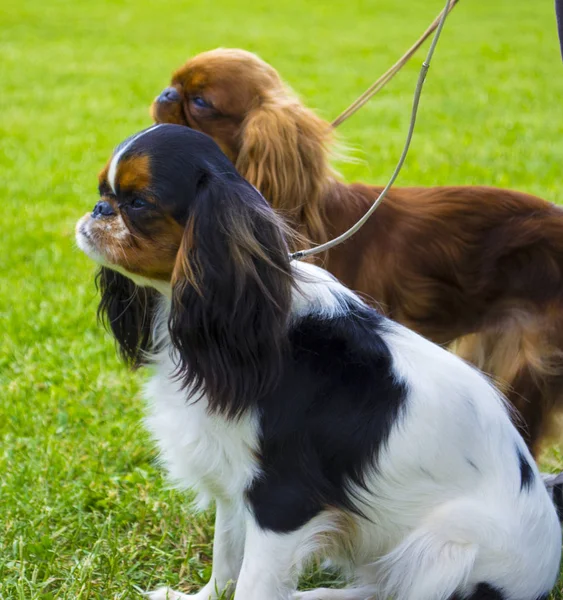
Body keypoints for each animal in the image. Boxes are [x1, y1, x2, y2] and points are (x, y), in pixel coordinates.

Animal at [77, 124, 560, 596]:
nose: (99, 209)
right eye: (103, 190)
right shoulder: (234, 478)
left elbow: (253, 581)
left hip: (446, 543)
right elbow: (226, 556)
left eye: (139, 202)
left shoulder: (282, 500)